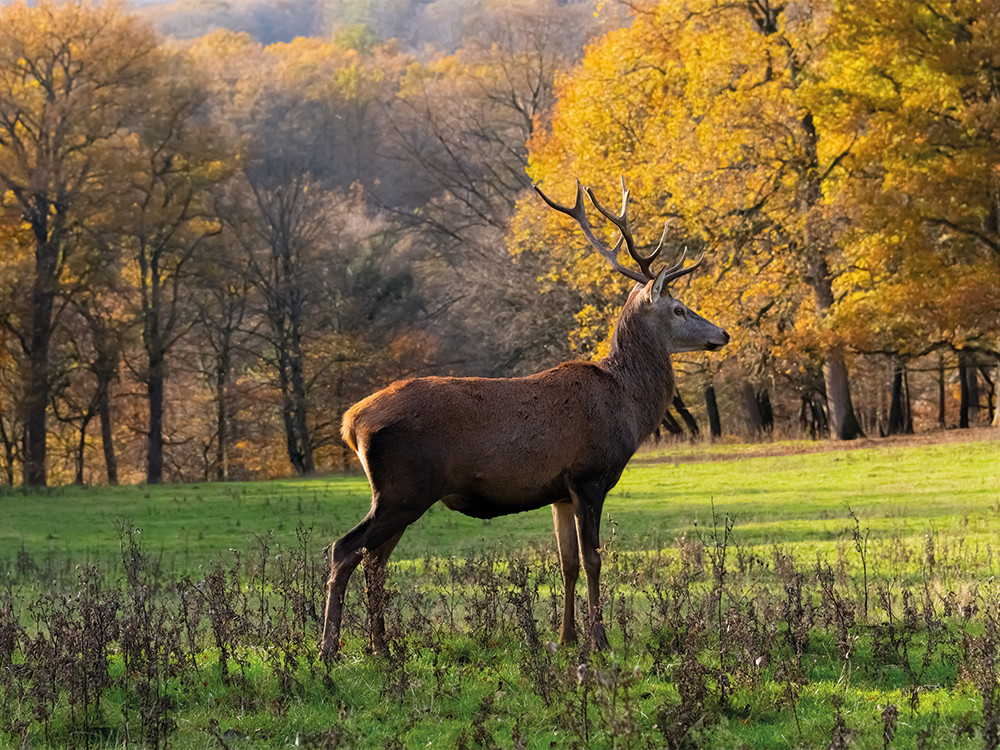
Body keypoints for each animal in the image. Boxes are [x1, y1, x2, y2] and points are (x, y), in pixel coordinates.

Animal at [324, 176, 732, 656]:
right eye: (679, 308)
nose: (723, 333)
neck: (629, 405)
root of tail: (352, 423)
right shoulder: (590, 475)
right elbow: (594, 559)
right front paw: (600, 639)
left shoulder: (560, 491)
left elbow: (567, 562)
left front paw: (566, 636)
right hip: (402, 490)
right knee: (345, 550)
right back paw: (330, 648)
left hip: (399, 496)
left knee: (375, 561)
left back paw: (382, 647)